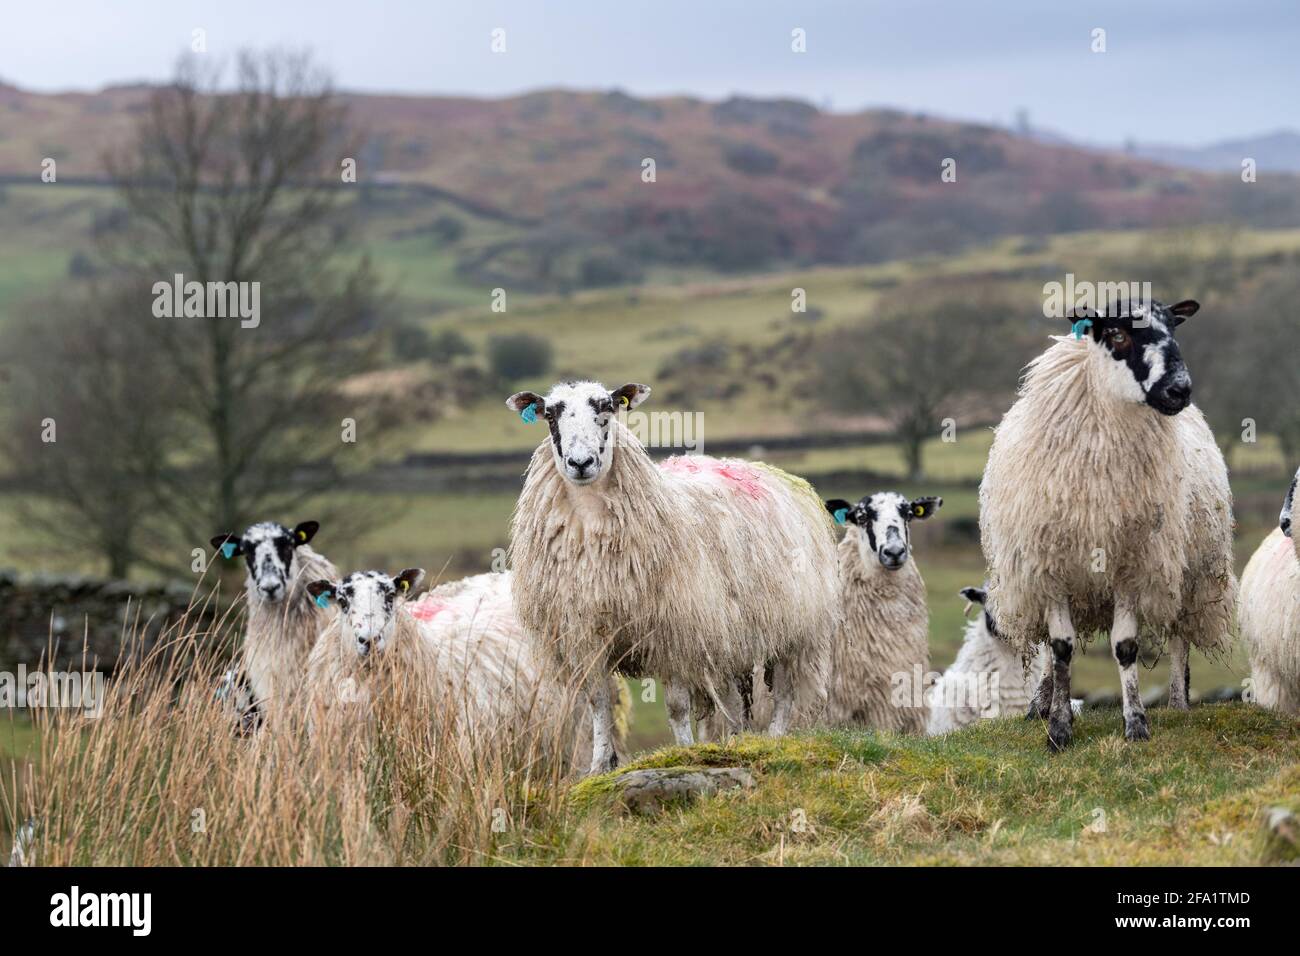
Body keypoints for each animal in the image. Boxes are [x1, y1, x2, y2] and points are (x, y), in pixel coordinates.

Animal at [501, 379, 837, 770]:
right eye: (550, 416)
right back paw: (736, 741)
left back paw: (776, 738)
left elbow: (677, 707)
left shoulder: (674, 631)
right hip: (730, 631)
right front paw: (598, 766)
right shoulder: (584, 635)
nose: (580, 463)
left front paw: (685, 753)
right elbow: (599, 704)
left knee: (784, 692)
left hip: (796, 625)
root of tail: (762, 468)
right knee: (734, 699)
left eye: (607, 408)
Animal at [977, 303, 1232, 749]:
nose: (1179, 390)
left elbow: (1125, 646)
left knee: (1179, 636)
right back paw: (1040, 704)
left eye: (1174, 329)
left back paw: (1178, 703)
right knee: (1050, 649)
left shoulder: (1133, 564)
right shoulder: (1051, 568)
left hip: (1188, 573)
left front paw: (1136, 722)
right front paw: (1059, 726)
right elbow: (1060, 648)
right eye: (1117, 335)